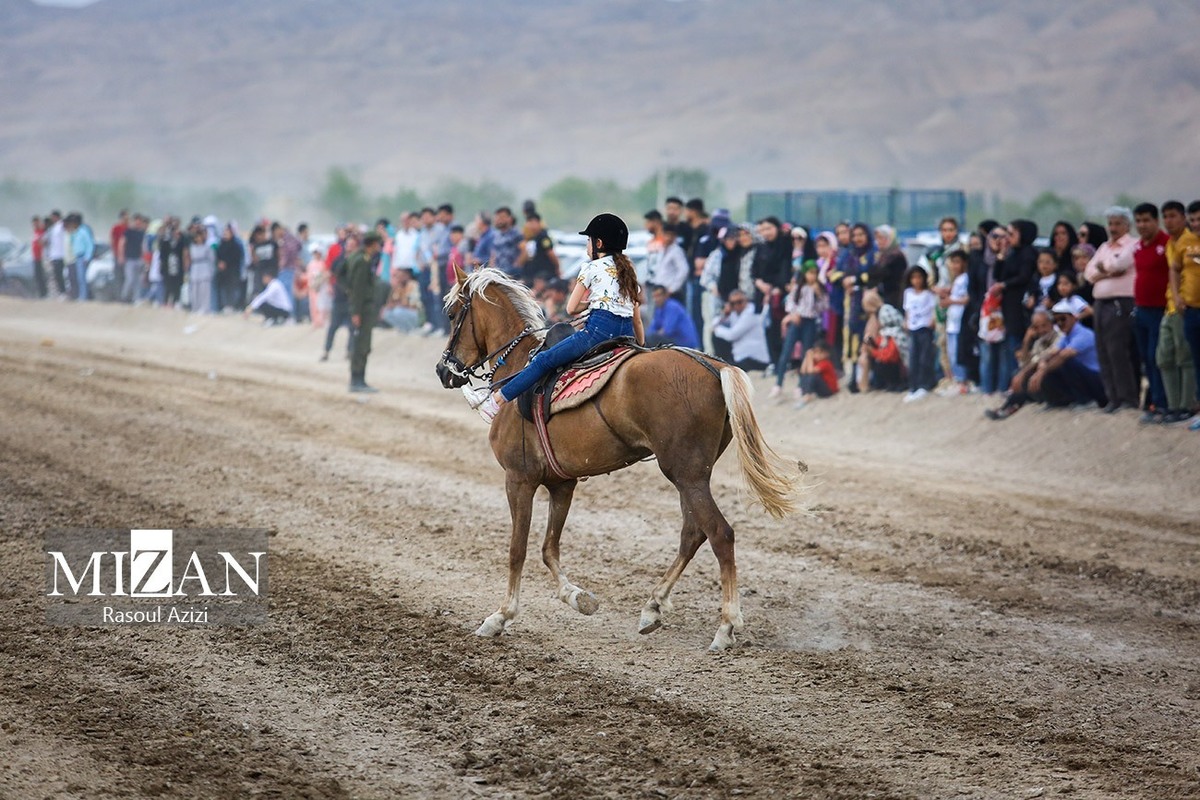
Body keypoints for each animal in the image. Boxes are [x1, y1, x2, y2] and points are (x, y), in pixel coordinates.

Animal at [434, 266, 796, 652]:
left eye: (452, 314)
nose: (444, 370)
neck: (520, 368)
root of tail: (714, 366)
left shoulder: (519, 479)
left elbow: (518, 549)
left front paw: (500, 617)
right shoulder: (562, 483)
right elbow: (549, 548)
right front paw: (578, 597)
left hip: (685, 473)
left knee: (720, 534)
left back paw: (726, 626)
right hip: (693, 474)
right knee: (692, 533)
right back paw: (653, 607)